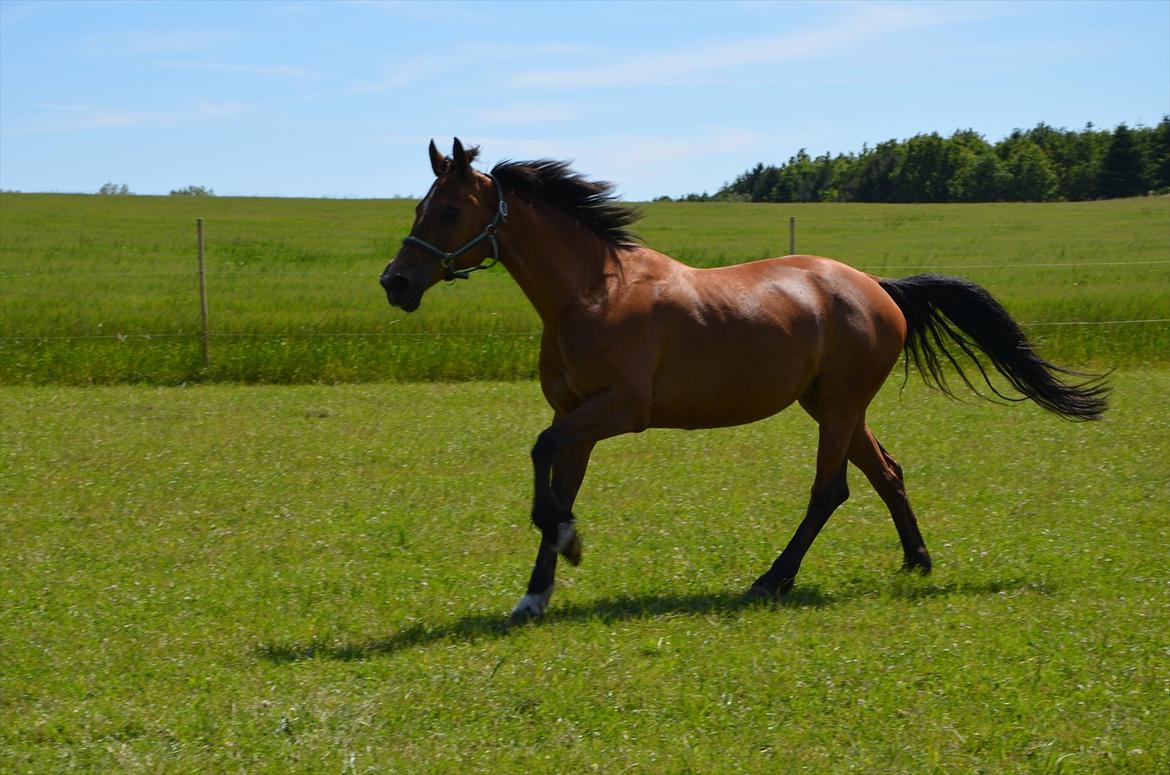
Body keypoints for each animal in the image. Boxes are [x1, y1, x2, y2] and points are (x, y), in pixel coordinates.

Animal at [379, 139, 1109, 622]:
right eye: (419, 206)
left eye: (448, 211)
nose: (396, 283)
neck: (592, 292)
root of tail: (880, 287)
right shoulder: (577, 417)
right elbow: (555, 482)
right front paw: (537, 589)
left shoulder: (619, 410)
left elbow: (541, 456)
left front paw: (568, 541)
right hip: (833, 405)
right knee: (887, 472)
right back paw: (916, 561)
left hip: (838, 407)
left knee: (831, 489)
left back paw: (772, 579)